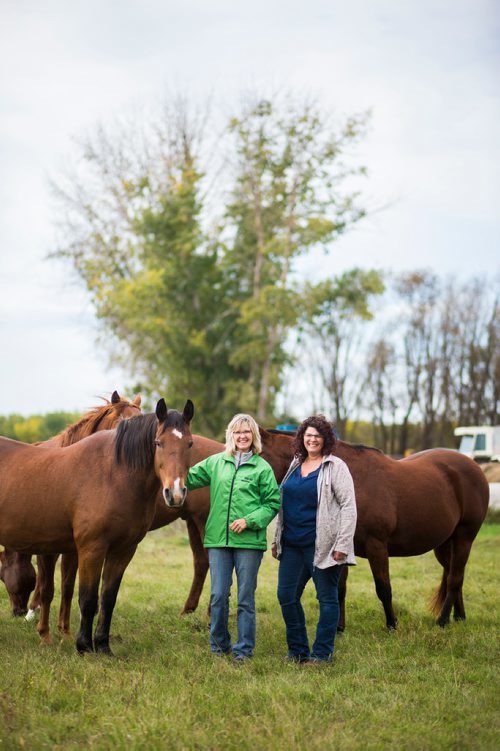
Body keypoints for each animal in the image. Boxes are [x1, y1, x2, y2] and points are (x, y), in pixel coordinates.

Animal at [0, 400, 193, 652]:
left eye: (189, 443)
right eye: (158, 443)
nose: (176, 493)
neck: (114, 474)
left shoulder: (123, 551)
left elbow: (107, 599)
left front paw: (102, 645)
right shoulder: (90, 549)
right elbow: (87, 598)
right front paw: (83, 645)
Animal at [258, 428, 488, 628]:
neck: (352, 480)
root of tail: (474, 466)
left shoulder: (376, 546)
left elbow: (383, 588)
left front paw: (392, 625)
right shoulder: (340, 548)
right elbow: (339, 589)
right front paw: (339, 627)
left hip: (464, 538)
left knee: (454, 578)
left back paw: (442, 621)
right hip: (444, 544)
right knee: (453, 575)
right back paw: (458, 617)